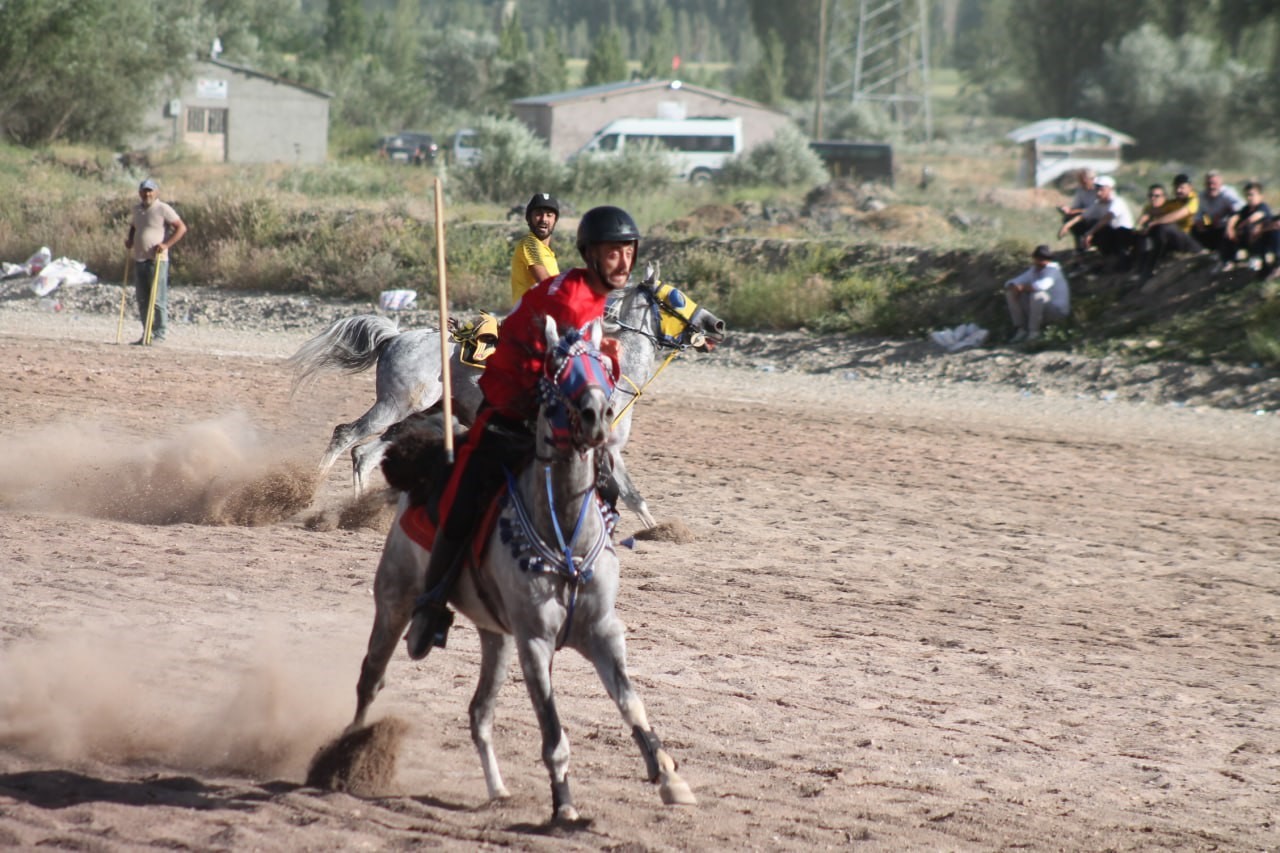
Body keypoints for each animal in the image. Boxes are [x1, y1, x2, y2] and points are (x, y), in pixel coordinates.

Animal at [293, 262, 732, 525]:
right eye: (676, 296)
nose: (718, 324)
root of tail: (395, 337)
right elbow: (625, 493)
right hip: (395, 406)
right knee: (345, 436)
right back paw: (306, 496)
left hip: (413, 415)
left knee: (364, 454)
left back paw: (358, 512)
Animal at [345, 317, 696, 819]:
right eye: (555, 366)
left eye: (600, 362)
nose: (597, 415)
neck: (565, 534)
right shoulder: (534, 640)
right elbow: (552, 730)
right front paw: (564, 804)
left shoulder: (603, 632)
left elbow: (632, 703)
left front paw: (669, 777)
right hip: (394, 600)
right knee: (371, 678)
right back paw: (345, 759)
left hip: (496, 638)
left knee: (479, 712)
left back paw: (497, 790)